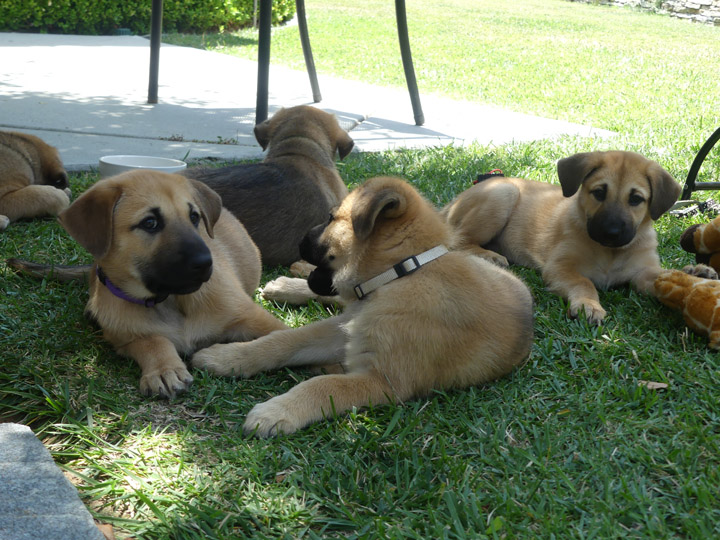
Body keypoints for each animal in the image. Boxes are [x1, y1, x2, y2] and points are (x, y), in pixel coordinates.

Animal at [11, 171, 286, 398]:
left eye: (194, 217)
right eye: (150, 223)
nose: (205, 263)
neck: (170, 300)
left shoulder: (258, 319)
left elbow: (279, 339)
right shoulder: (124, 338)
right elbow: (152, 341)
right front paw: (164, 369)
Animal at [191, 177, 536, 438]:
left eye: (331, 218)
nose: (299, 240)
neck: (401, 274)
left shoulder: (383, 379)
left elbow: (323, 384)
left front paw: (277, 411)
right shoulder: (344, 330)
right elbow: (283, 340)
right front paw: (229, 357)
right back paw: (287, 285)